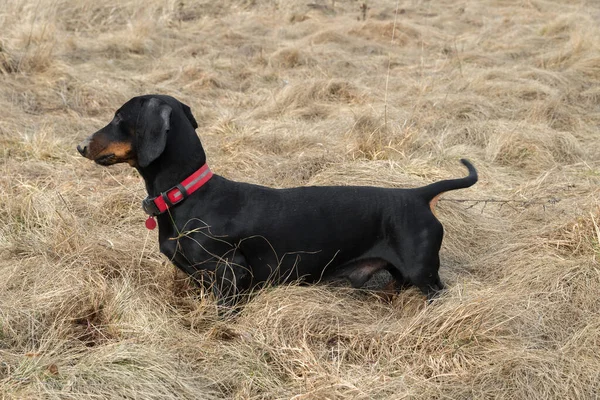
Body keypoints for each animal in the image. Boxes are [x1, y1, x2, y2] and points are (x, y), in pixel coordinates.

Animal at [77, 95, 476, 308]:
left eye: (118, 118)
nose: (79, 145)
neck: (190, 195)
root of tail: (417, 195)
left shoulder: (230, 273)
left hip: (423, 273)